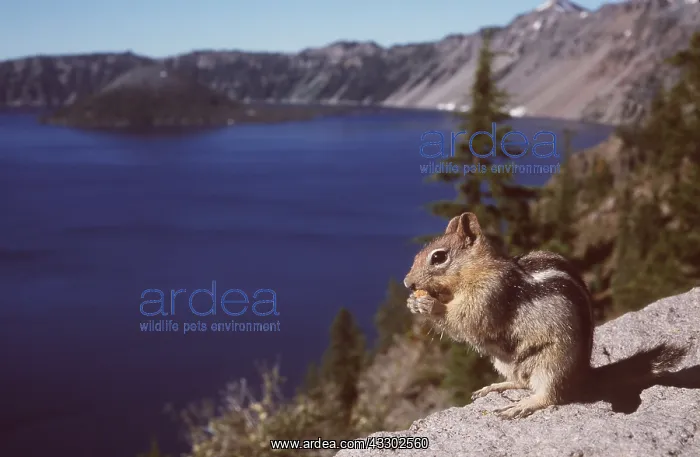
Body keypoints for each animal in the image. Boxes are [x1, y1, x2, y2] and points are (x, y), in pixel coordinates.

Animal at [403, 211, 690, 419]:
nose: (407, 283)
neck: (478, 269)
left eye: (438, 257)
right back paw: (497, 387)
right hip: (505, 361)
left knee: (549, 395)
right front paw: (413, 303)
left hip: (552, 361)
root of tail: (583, 374)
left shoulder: (490, 294)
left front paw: (429, 305)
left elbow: (468, 320)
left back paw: (522, 406)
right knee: (521, 382)